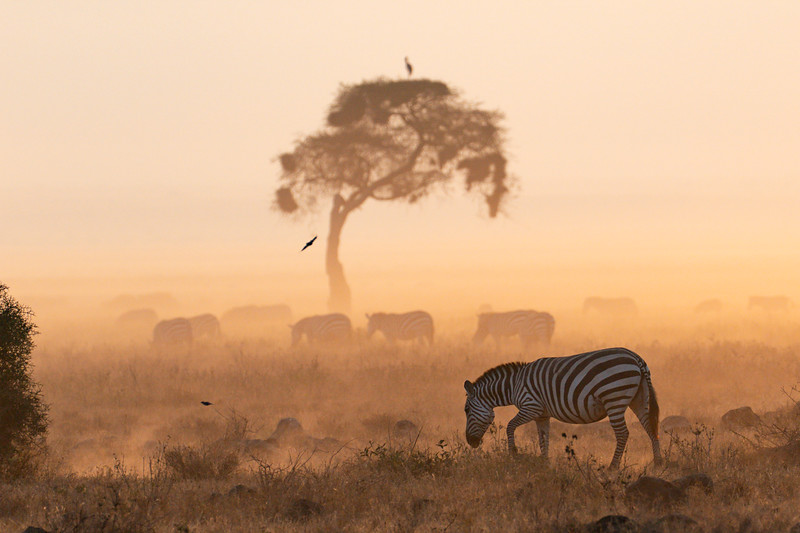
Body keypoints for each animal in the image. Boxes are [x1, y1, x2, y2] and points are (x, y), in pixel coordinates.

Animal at [463, 347, 661, 469]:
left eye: (466, 410)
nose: (470, 442)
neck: (514, 385)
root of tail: (636, 358)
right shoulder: (542, 415)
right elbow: (543, 438)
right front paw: (544, 464)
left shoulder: (531, 407)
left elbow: (511, 426)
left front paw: (514, 454)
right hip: (639, 398)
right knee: (651, 428)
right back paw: (658, 464)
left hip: (614, 398)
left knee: (622, 434)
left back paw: (612, 468)